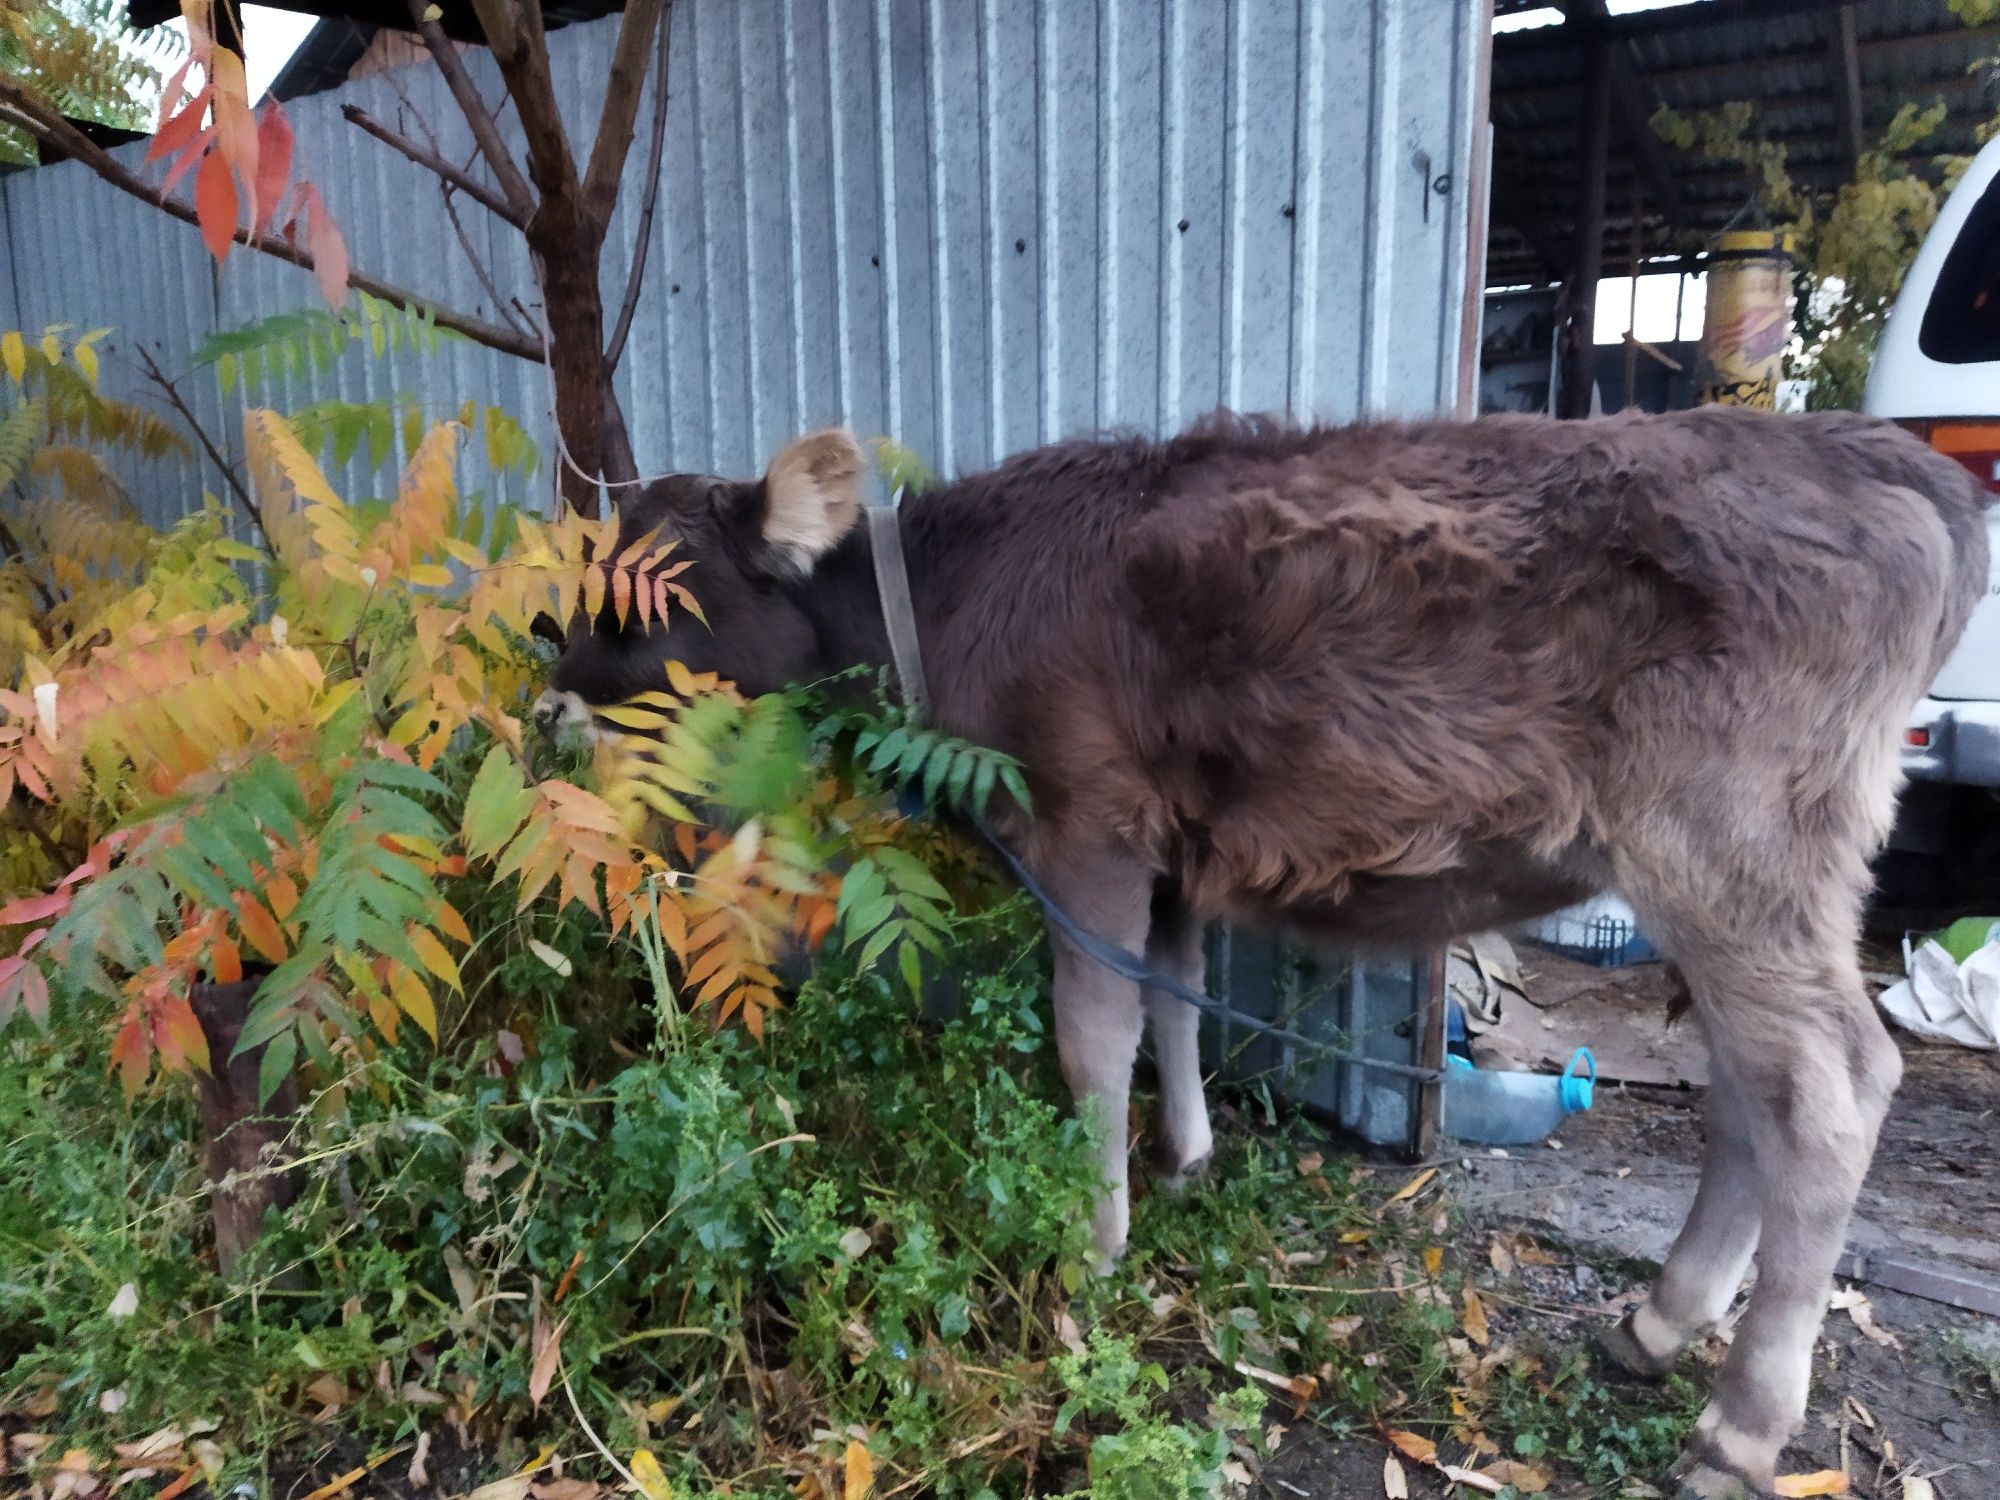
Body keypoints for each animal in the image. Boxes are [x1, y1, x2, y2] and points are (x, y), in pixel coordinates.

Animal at [540, 412, 1992, 1500]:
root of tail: (1886, 459)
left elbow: (1093, 1036)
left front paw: (1097, 1241)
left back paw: (1739, 1425)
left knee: (1827, 1090)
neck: (947, 605)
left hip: (1728, 847)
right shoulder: (1170, 849)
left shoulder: (1086, 826)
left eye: (652, 591)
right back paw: (1657, 1325)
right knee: (1747, 1092)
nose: (545, 664)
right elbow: (1176, 1006)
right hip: (1736, 883)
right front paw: (1185, 1159)